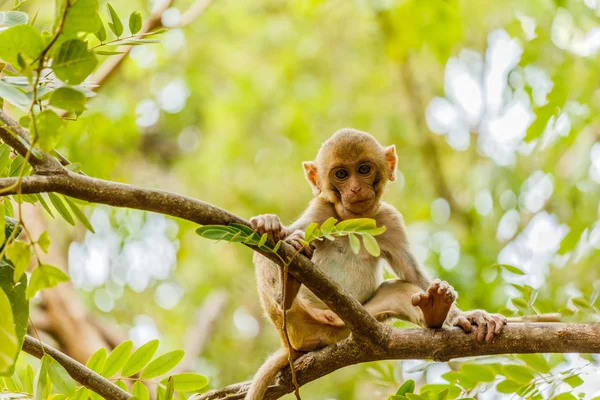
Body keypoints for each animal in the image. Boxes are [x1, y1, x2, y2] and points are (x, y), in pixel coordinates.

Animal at [244, 128, 506, 400]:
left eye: (363, 169)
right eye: (341, 174)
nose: (356, 188)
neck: (352, 219)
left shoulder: (389, 219)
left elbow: (410, 273)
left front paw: (468, 315)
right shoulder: (320, 211)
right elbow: (285, 235)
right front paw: (269, 224)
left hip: (357, 322)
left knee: (399, 289)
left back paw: (435, 309)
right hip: (296, 325)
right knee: (267, 253)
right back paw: (287, 288)